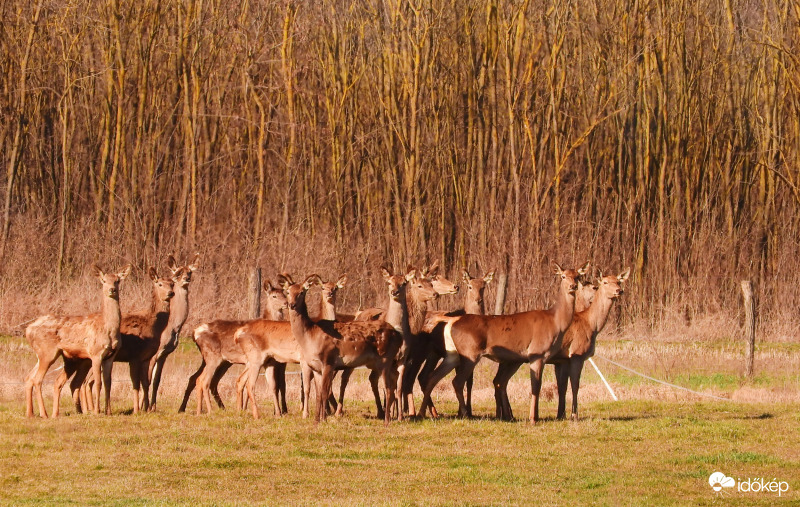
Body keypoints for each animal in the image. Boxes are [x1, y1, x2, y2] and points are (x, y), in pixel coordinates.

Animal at [25, 264, 131, 418]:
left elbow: (108, 383)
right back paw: (44, 414)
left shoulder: (111, 356)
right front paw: (97, 411)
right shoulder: (95, 353)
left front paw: (109, 412)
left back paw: (32, 413)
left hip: (44, 355)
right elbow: (98, 382)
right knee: (37, 379)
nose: (112, 289)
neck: (108, 328)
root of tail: (28, 330)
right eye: (104, 281)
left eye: (117, 281)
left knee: (30, 378)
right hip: (48, 352)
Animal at [145, 254, 200, 412]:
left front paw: (153, 407)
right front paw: (146, 407)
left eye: (189, 271)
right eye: (178, 271)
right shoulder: (153, 353)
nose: (186, 278)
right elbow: (148, 379)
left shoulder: (164, 354)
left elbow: (157, 380)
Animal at [284, 274, 404, 424]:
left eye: (301, 292)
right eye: (287, 292)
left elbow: (324, 392)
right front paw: (316, 420)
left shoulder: (328, 361)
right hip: (387, 361)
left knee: (388, 388)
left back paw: (387, 420)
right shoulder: (316, 367)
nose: (291, 305)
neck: (309, 337)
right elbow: (318, 394)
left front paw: (323, 419)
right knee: (395, 381)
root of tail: (398, 335)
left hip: (385, 358)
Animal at [418, 262, 588, 424]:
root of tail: (451, 321)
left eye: (577, 276)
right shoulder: (537, 353)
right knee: (457, 381)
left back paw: (424, 413)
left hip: (452, 354)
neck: (555, 322)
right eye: (563, 276)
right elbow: (535, 387)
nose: (573, 286)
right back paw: (465, 414)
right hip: (470, 353)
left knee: (432, 377)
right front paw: (533, 418)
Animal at [552, 268, 632, 422]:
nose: (619, 290)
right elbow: (575, 384)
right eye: (605, 282)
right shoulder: (577, 353)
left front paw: (562, 415)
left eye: (618, 281)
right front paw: (574, 415)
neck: (591, 325)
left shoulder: (562, 359)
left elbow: (562, 386)